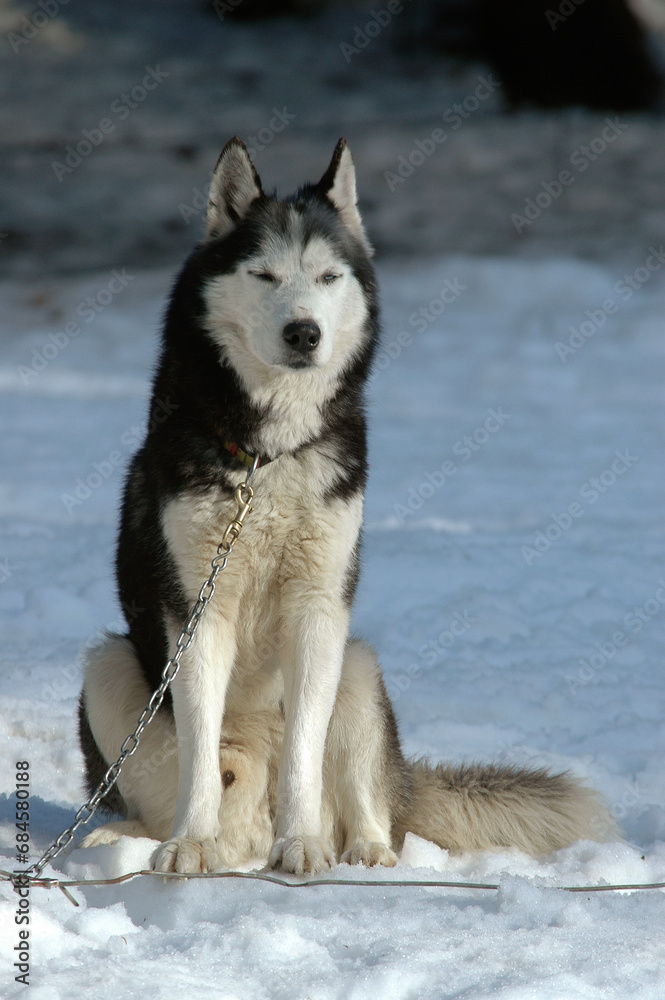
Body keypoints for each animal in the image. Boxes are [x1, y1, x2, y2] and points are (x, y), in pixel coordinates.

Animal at [79, 137, 616, 872]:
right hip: (106, 668)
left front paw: (301, 844)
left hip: (358, 664)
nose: (304, 331)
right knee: (157, 793)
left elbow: (305, 752)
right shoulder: (196, 613)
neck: (271, 453)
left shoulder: (318, 607)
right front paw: (189, 843)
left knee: (367, 804)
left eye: (329, 277)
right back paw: (131, 839)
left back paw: (364, 851)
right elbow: (198, 752)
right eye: (265, 275)